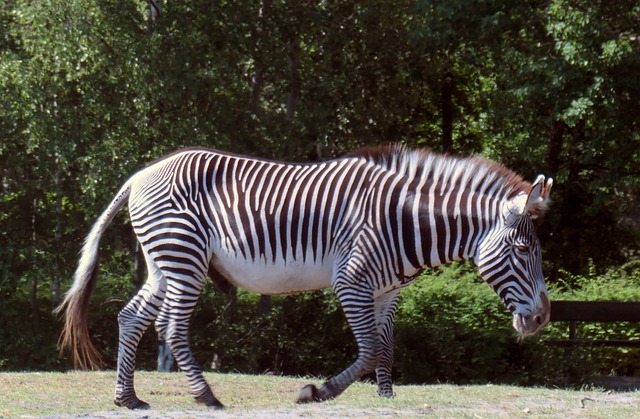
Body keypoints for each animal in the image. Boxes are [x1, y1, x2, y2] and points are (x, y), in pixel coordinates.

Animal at [55, 144, 552, 410]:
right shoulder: (352, 282)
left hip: (164, 262)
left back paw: (128, 398)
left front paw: (386, 395)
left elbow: (386, 346)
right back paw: (206, 396)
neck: (403, 222)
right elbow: (370, 350)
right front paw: (317, 390)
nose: (542, 320)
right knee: (171, 326)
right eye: (524, 249)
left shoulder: (388, 292)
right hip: (185, 257)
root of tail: (140, 175)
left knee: (131, 318)